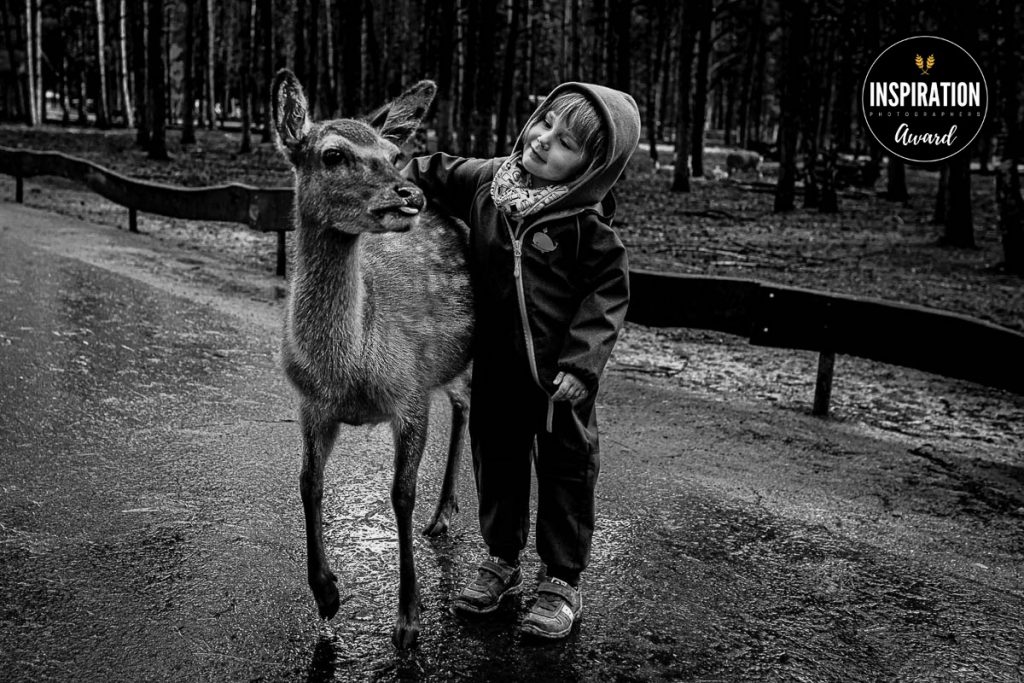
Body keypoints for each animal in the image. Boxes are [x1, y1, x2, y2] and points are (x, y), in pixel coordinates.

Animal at [271, 69, 473, 649]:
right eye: (333, 154)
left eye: (393, 152)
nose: (410, 193)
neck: (350, 371)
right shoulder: (311, 405)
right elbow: (308, 483)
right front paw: (326, 594)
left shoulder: (410, 391)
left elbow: (400, 495)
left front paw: (408, 619)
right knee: (464, 403)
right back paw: (444, 513)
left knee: (468, 405)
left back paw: (444, 515)